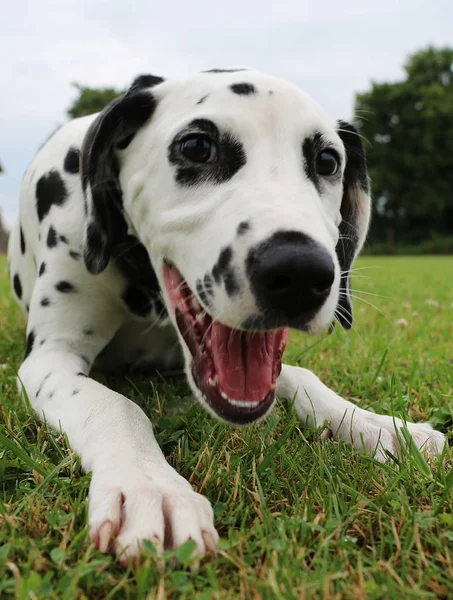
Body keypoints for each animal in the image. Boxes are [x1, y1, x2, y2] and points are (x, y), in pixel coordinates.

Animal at [8, 69, 444, 564]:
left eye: (328, 160)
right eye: (197, 147)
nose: (299, 272)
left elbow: (302, 377)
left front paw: (377, 426)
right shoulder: (50, 359)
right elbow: (116, 404)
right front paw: (151, 486)